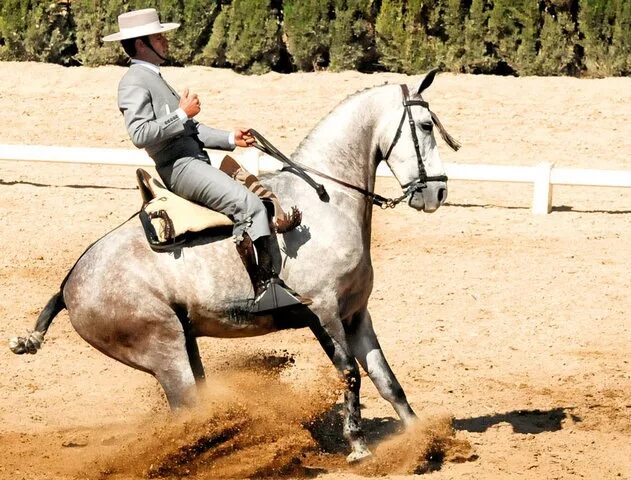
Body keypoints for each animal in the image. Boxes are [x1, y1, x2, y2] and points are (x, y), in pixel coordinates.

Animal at [11, 68, 460, 462]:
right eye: (425, 126)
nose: (437, 192)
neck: (326, 200)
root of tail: (70, 283)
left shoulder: (355, 313)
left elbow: (386, 379)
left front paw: (423, 439)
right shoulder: (324, 311)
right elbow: (349, 373)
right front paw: (358, 446)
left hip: (184, 343)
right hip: (164, 351)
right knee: (189, 413)